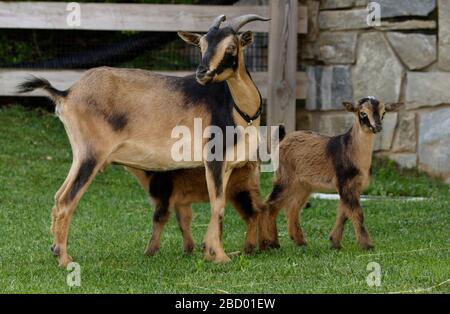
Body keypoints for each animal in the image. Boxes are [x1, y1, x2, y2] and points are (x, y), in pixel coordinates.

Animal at [126, 162, 266, 255]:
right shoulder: (181, 202)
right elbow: (183, 222)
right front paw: (188, 249)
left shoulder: (163, 196)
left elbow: (158, 219)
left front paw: (149, 251)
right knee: (260, 209)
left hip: (241, 191)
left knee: (253, 214)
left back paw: (248, 247)